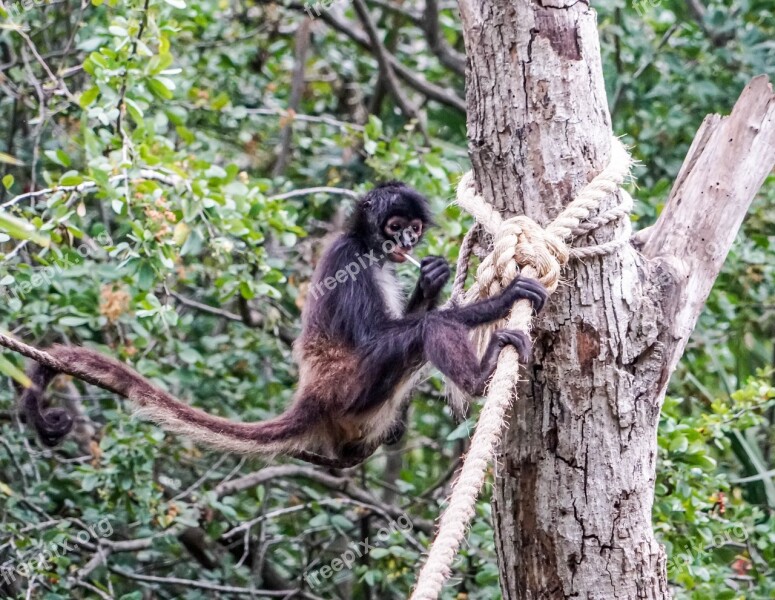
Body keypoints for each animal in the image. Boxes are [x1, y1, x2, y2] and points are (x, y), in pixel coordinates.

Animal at [21, 183, 548, 468]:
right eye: (395, 226)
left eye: (413, 231)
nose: (405, 243)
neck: (365, 244)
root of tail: (312, 395)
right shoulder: (349, 259)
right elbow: (384, 335)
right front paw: (500, 299)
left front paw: (431, 278)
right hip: (350, 388)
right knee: (425, 333)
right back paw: (481, 378)